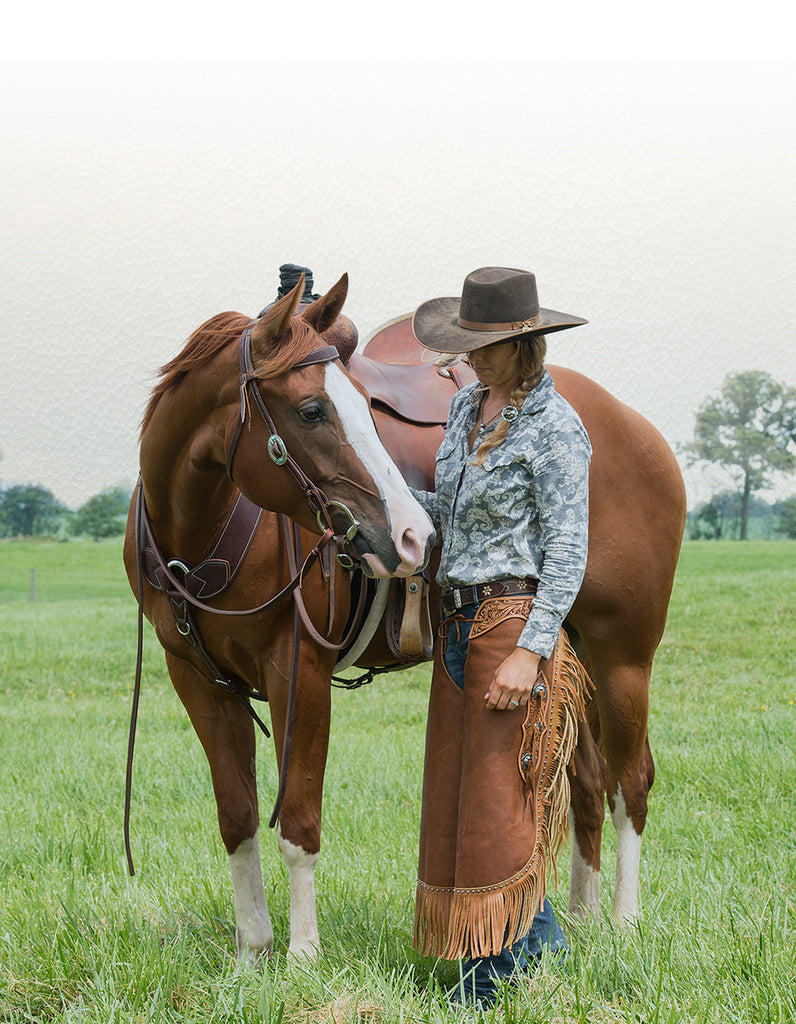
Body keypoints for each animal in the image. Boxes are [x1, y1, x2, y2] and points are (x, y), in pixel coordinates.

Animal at [121, 272, 438, 958]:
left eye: (366, 406)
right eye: (312, 410)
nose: (415, 535)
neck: (203, 535)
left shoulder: (301, 673)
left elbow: (297, 819)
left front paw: (304, 954)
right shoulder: (199, 681)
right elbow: (237, 816)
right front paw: (253, 949)